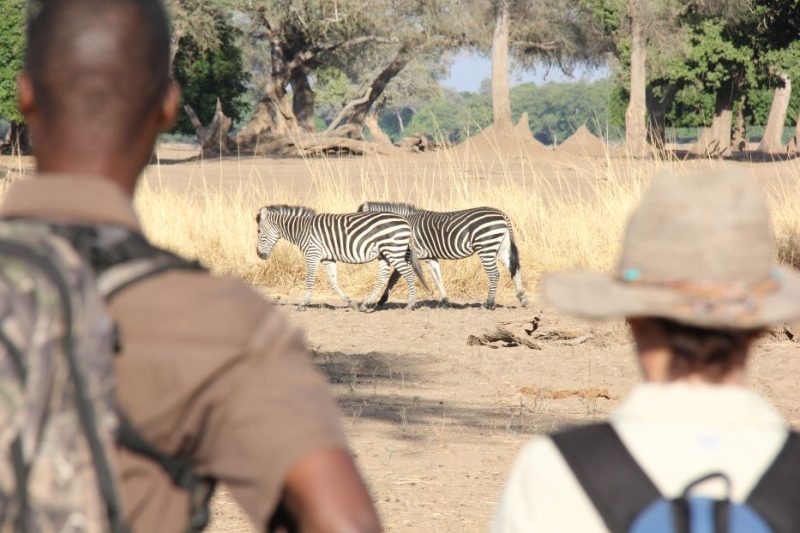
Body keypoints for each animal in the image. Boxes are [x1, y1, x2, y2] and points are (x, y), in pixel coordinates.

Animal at [256, 205, 432, 312]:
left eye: (258, 231)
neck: (302, 230)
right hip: (385, 254)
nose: (259, 254)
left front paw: (303, 304)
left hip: (393, 250)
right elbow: (333, 282)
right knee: (383, 277)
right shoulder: (328, 258)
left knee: (408, 273)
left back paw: (410, 304)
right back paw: (365, 304)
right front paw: (350, 302)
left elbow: (310, 280)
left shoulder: (313, 254)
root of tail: (406, 222)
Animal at [360, 201, 528, 310]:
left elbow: (393, 279)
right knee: (515, 269)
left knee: (494, 274)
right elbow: (437, 278)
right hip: (501, 249)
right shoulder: (430, 257)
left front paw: (381, 300)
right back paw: (522, 298)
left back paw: (488, 304)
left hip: (486, 247)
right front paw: (446, 302)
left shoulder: (408, 256)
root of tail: (502, 214)